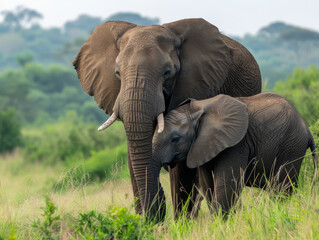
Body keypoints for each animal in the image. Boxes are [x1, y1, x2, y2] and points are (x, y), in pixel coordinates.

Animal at [73, 18, 262, 221]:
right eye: (117, 73)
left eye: (167, 72)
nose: (157, 212)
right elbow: (133, 156)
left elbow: (181, 167)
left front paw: (182, 224)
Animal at [152, 92, 318, 216]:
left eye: (175, 139)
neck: (199, 108)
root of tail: (307, 129)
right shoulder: (202, 146)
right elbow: (208, 185)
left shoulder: (236, 144)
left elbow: (226, 184)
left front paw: (219, 224)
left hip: (292, 147)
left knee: (281, 188)